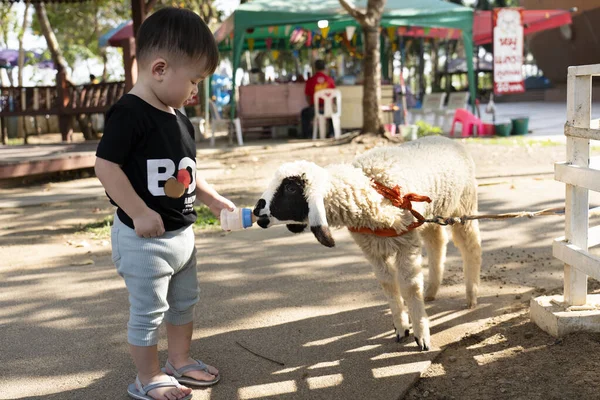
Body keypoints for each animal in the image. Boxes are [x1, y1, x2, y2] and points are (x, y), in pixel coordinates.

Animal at [253, 135, 482, 350]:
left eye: (291, 188)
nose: (257, 212)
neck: (372, 192)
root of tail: (445, 138)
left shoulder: (406, 243)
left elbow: (410, 286)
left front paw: (421, 335)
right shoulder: (372, 249)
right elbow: (387, 284)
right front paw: (402, 328)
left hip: (464, 205)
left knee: (471, 245)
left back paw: (471, 296)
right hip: (430, 215)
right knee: (437, 242)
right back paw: (431, 292)